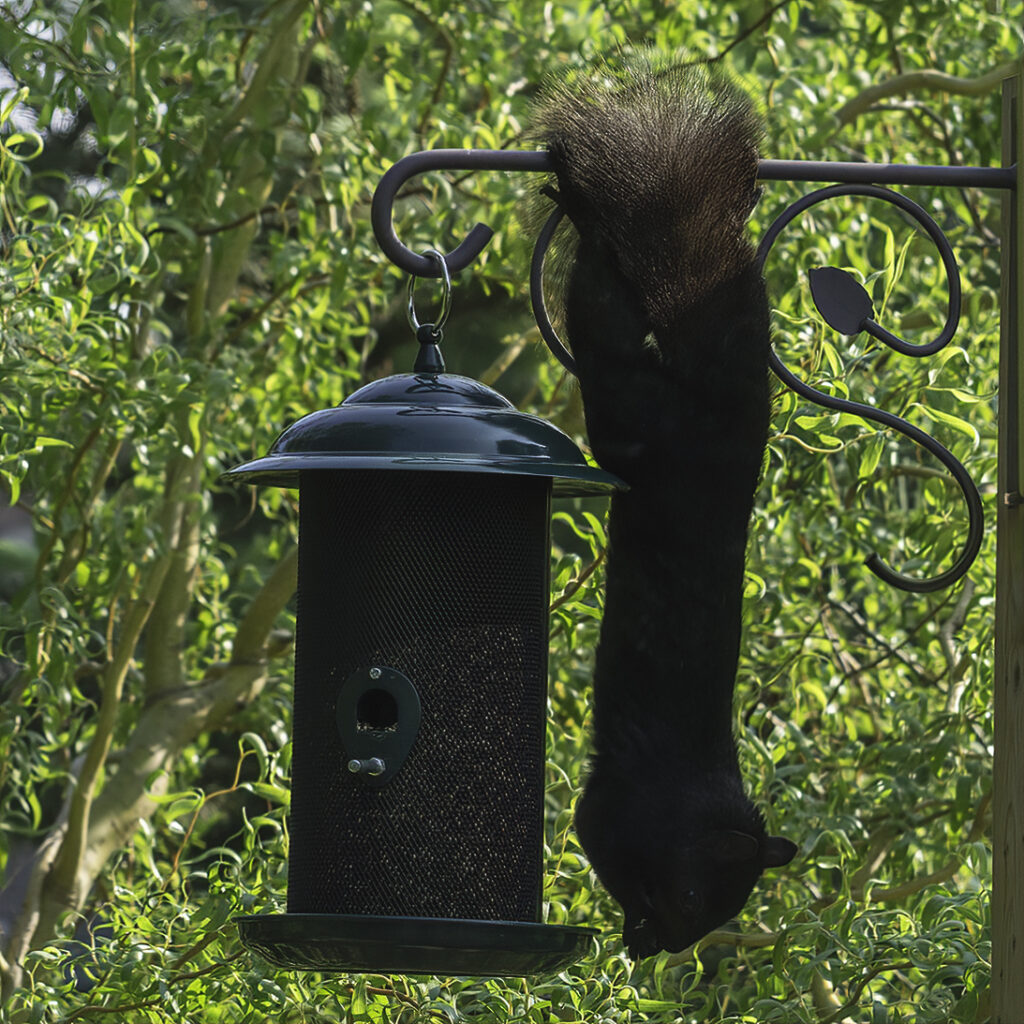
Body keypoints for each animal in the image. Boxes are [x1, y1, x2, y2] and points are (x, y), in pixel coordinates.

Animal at [527, 55, 797, 959]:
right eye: (691, 894)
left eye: (715, 914)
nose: (664, 949)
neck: (695, 801)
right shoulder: (620, 807)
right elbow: (596, 831)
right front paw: (631, 920)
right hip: (629, 409)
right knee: (601, 312)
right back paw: (578, 206)